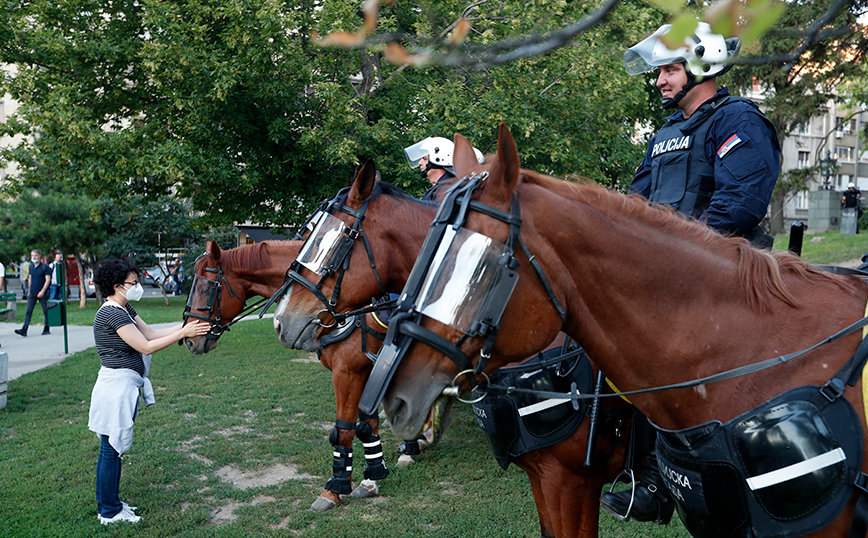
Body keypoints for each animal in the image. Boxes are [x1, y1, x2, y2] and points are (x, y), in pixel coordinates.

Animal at [185, 241, 396, 508]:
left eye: (205, 287)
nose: (188, 340)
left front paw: (333, 490)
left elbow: (346, 430)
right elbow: (368, 424)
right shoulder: (365, 373)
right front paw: (371, 480)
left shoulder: (348, 373)